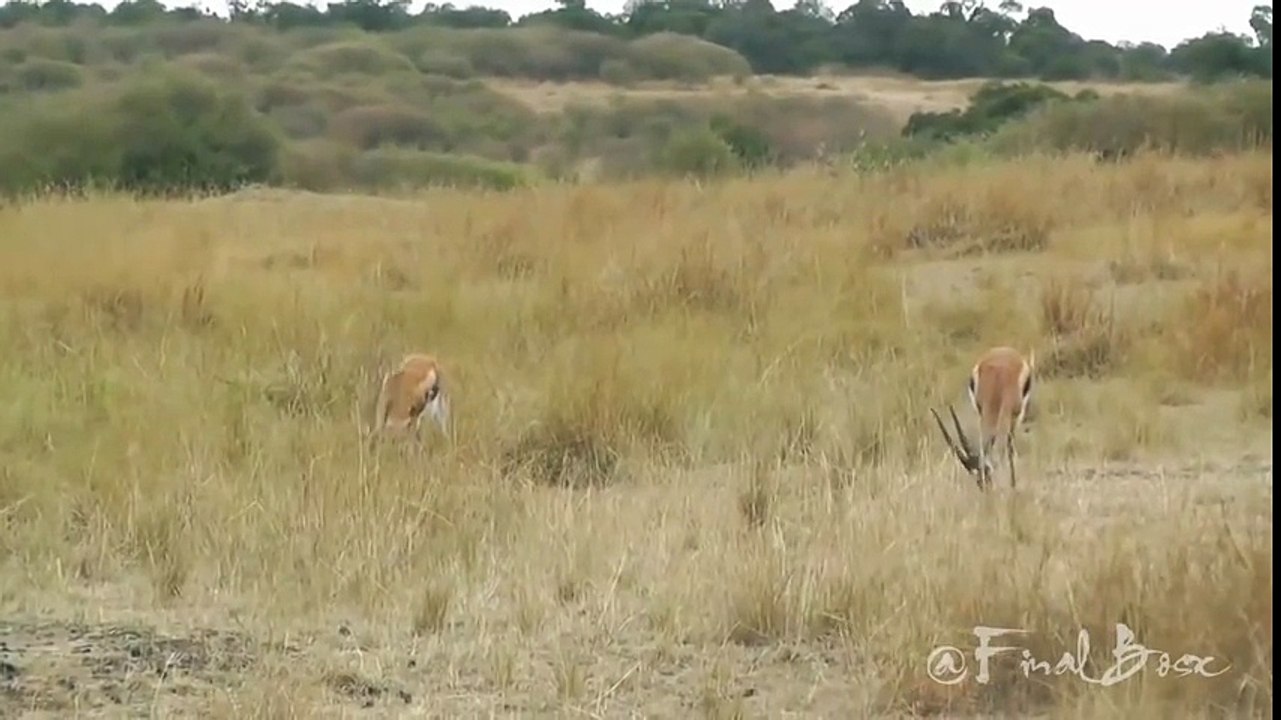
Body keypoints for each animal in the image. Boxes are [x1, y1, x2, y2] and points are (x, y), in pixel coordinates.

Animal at [930, 346, 1035, 490]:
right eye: (979, 480)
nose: (986, 490)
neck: (999, 382)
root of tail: (1004, 350)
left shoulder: (1013, 416)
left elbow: (1008, 448)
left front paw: (1012, 485)